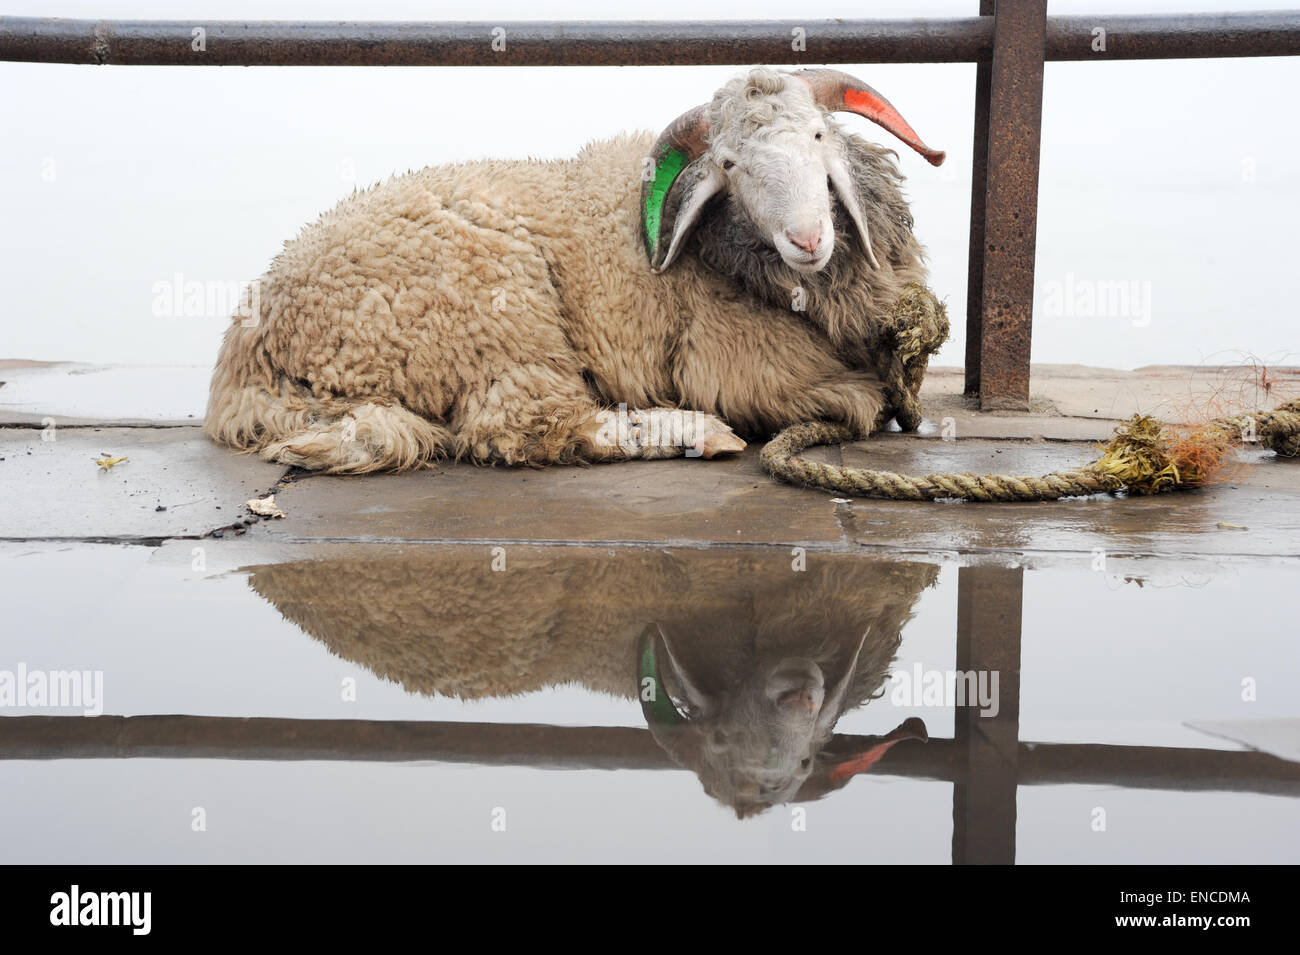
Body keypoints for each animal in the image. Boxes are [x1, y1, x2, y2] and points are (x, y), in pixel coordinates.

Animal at [210, 64, 946, 475]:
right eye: (730, 165)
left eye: (818, 135)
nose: (806, 238)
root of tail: (245, 357)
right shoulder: (735, 360)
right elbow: (860, 399)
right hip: (496, 311)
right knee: (522, 426)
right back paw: (693, 432)